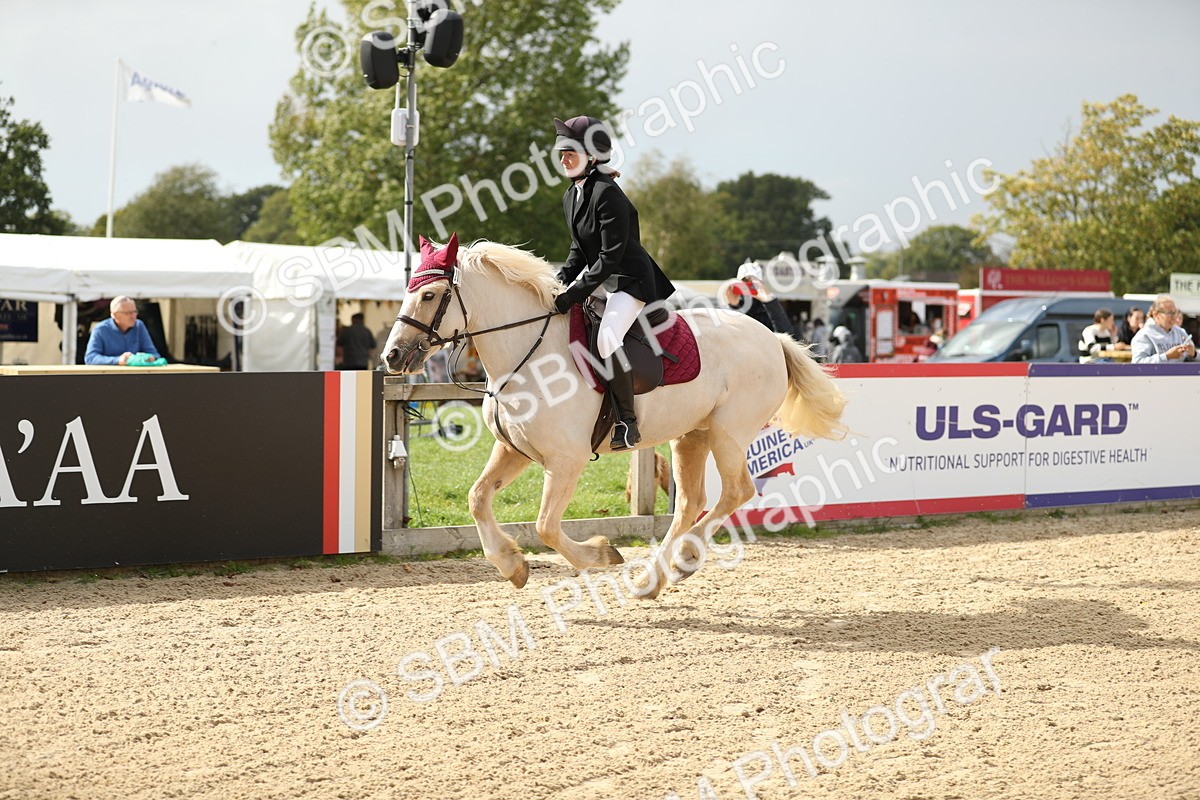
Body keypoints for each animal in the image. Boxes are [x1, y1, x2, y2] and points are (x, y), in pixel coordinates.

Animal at [382, 235, 848, 599]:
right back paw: (654, 579)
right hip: (692, 435)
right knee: (691, 503)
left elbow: (546, 526)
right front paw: (512, 565)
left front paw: (600, 554)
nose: (392, 356)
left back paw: (683, 560)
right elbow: (478, 498)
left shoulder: (565, 462)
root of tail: (772, 338)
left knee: (735, 493)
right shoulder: (514, 450)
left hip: (728, 435)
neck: (526, 353)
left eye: (428, 295)